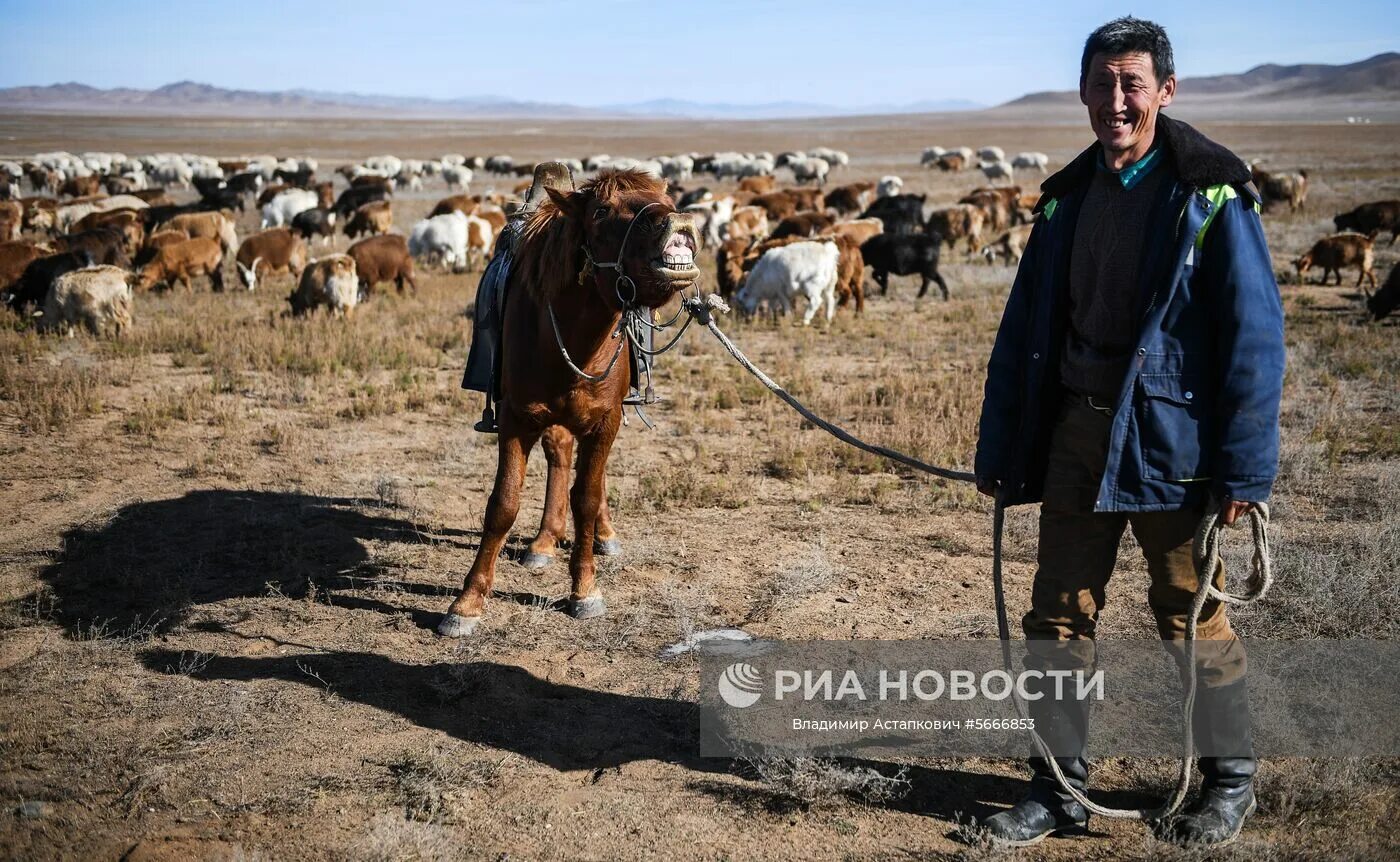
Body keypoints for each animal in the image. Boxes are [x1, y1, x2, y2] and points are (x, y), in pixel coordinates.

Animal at [436, 170, 700, 640]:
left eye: (668, 201)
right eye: (601, 211)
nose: (680, 224)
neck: (574, 339)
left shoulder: (605, 422)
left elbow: (587, 499)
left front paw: (584, 589)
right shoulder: (516, 419)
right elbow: (503, 504)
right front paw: (467, 603)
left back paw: (602, 535)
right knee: (559, 454)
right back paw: (544, 540)